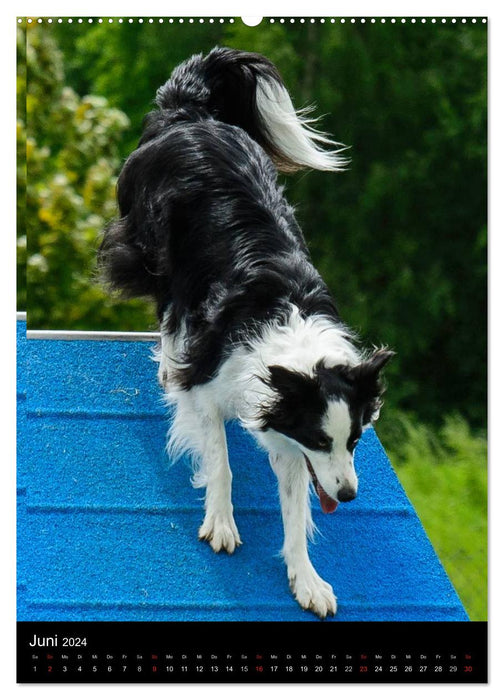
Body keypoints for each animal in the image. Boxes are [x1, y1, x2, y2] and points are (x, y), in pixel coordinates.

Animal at [99, 47, 394, 616]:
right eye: (321, 438)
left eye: (355, 440)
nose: (349, 496)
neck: (293, 341)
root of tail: (191, 115)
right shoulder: (212, 382)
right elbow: (221, 459)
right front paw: (220, 522)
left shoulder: (286, 430)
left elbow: (296, 506)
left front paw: (307, 578)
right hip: (153, 247)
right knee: (167, 306)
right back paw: (168, 359)